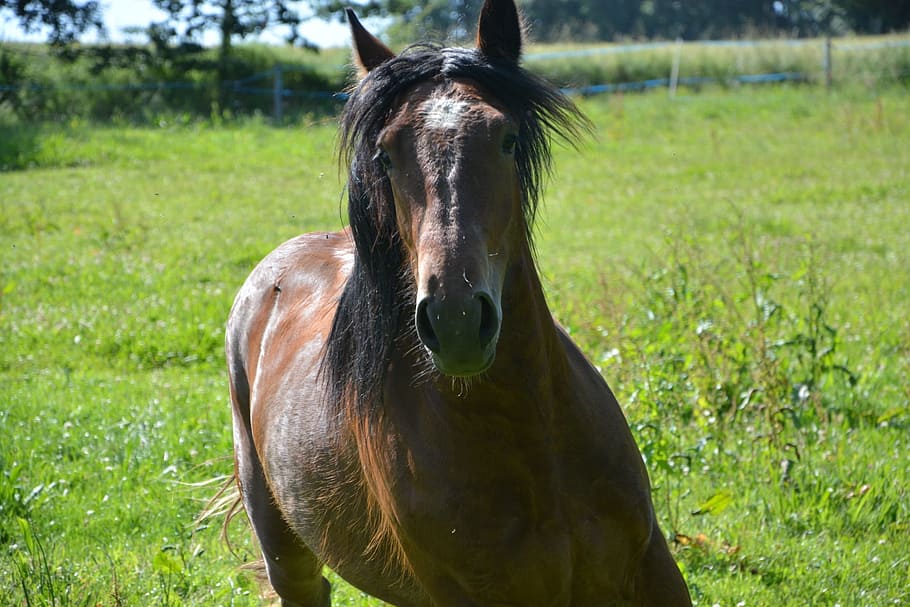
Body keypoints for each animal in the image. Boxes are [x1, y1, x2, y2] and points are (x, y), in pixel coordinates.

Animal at [224, 0, 691, 604]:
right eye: (385, 155)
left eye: (507, 139)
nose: (457, 319)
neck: (534, 444)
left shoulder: (651, 567)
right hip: (285, 549)